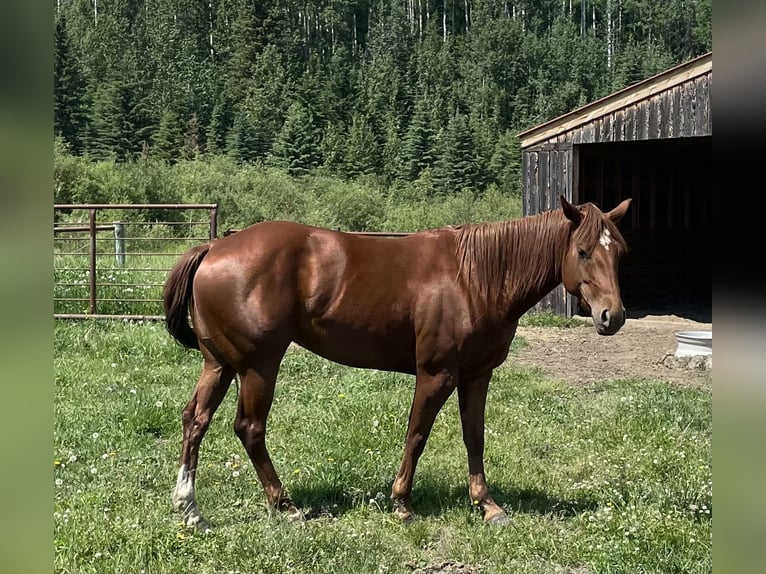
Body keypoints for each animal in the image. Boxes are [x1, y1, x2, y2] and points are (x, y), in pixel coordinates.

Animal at [165, 195, 632, 532]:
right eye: (584, 252)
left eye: (620, 253)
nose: (613, 316)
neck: (475, 277)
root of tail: (214, 247)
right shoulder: (436, 374)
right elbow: (417, 434)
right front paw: (403, 503)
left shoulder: (477, 375)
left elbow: (474, 437)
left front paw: (487, 505)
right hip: (259, 367)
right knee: (249, 428)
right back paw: (285, 505)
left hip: (219, 365)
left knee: (195, 420)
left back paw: (191, 509)